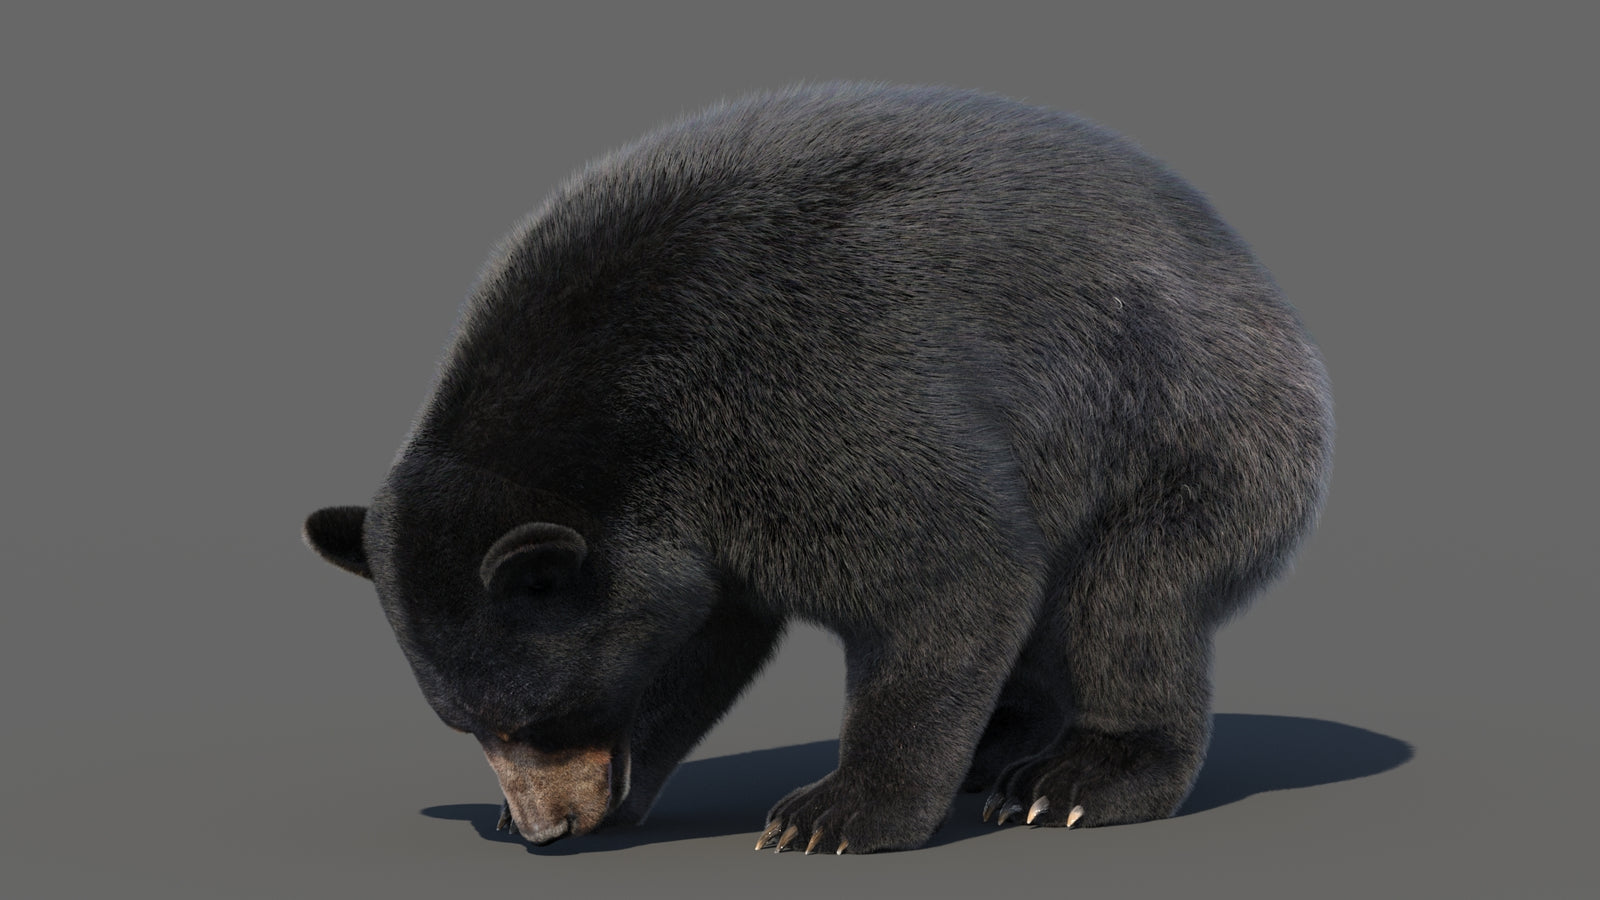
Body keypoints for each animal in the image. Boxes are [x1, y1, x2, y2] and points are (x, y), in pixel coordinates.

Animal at [304, 82, 1333, 855]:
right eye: (468, 724)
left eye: (538, 715)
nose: (545, 828)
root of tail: (1264, 286)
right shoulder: (694, 520)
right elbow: (702, 635)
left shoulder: (804, 390)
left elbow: (953, 568)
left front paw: (835, 813)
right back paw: (1001, 743)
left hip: (1185, 428)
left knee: (1129, 599)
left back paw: (1075, 778)